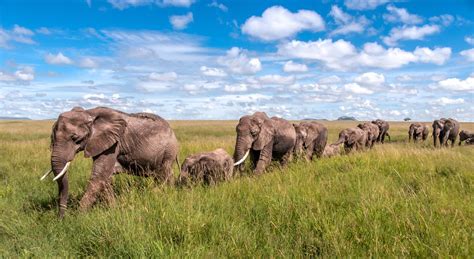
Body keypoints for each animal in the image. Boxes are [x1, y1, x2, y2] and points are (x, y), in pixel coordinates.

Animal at [40, 106, 180, 218]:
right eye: (52, 137)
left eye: (76, 139)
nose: (61, 218)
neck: (89, 113)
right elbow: (105, 178)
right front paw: (113, 209)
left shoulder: (113, 143)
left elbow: (99, 176)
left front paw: (78, 216)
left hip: (169, 151)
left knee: (166, 174)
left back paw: (168, 195)